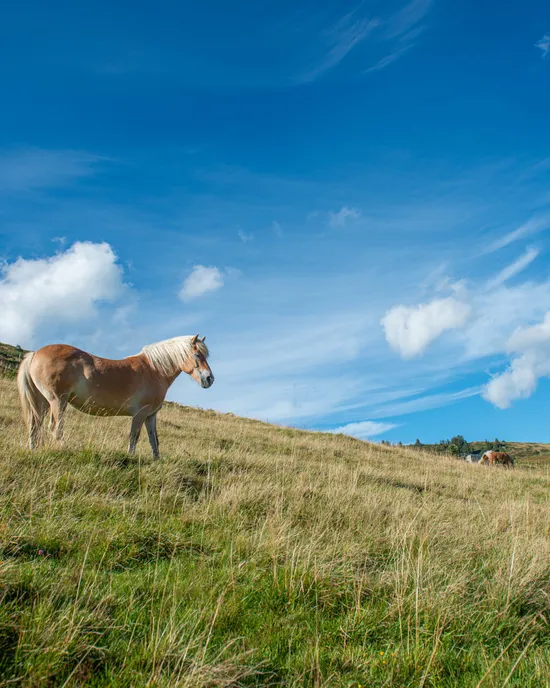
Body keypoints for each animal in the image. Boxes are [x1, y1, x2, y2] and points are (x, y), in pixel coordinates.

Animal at [16, 336, 215, 460]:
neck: (154, 370)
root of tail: (35, 353)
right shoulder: (140, 414)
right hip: (57, 401)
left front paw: (157, 460)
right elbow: (134, 436)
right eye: (197, 355)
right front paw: (130, 457)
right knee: (55, 427)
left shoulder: (151, 416)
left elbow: (154, 440)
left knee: (35, 425)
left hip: (42, 402)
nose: (209, 379)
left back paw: (34, 450)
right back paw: (63, 449)